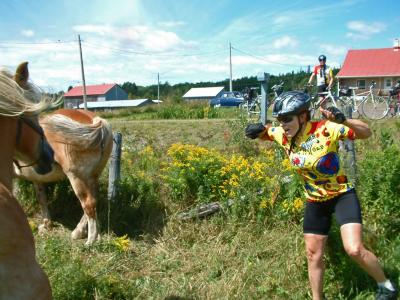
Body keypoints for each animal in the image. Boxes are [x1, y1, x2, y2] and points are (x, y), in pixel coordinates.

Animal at [13, 62, 114, 245]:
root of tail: (97, 121)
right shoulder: (36, 178)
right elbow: (42, 198)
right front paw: (46, 224)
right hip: (92, 175)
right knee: (94, 200)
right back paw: (80, 232)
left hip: (76, 176)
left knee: (88, 203)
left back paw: (90, 240)